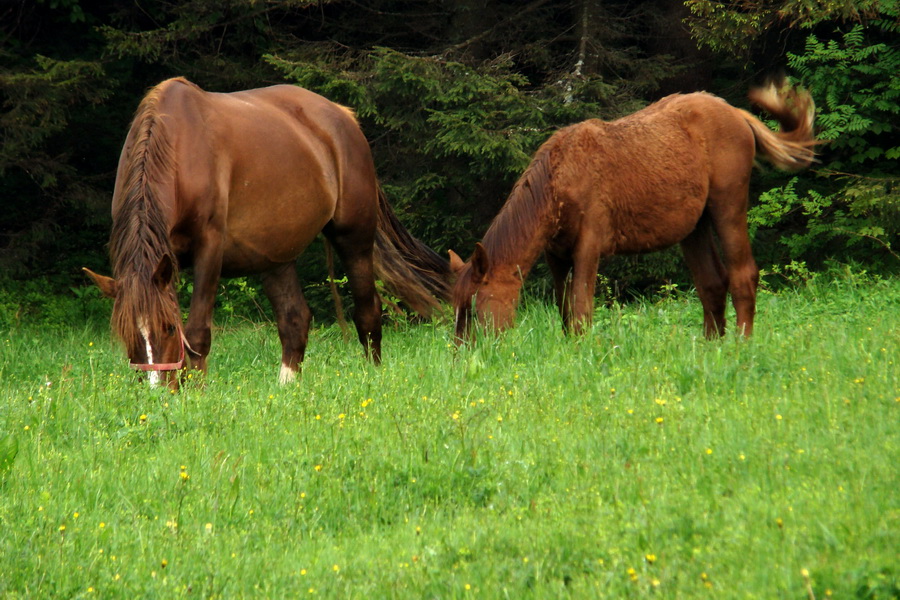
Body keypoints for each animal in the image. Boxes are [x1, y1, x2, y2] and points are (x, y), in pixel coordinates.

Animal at [84, 77, 450, 386]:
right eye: (126, 334)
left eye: (169, 327)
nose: (157, 390)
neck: (178, 148)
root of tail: (344, 117)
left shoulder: (209, 249)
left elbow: (199, 331)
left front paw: (197, 393)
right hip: (275, 257)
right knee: (295, 320)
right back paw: (286, 389)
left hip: (354, 238)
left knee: (367, 312)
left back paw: (371, 377)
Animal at [450, 80, 816, 342]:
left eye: (474, 309)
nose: (462, 356)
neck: (557, 183)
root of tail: (739, 114)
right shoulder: (556, 255)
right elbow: (565, 311)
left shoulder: (589, 245)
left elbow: (581, 310)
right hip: (694, 227)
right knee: (712, 282)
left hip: (728, 205)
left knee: (742, 274)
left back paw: (742, 344)